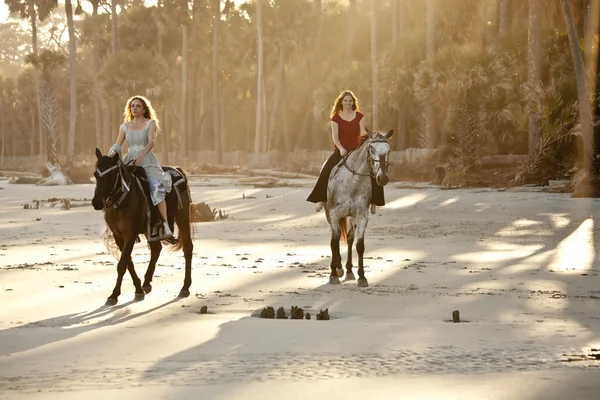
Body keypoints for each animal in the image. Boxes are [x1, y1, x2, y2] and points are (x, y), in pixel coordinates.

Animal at [91, 148, 192, 304]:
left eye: (112, 174)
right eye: (96, 174)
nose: (97, 202)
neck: (122, 201)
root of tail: (177, 170)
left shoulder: (130, 234)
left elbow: (122, 263)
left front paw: (114, 294)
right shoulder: (118, 235)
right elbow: (128, 262)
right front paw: (138, 289)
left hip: (182, 217)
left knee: (187, 248)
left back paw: (185, 287)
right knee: (156, 249)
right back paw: (146, 283)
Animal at [324, 128, 394, 288]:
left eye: (389, 150)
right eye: (371, 149)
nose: (382, 178)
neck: (353, 182)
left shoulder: (362, 215)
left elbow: (360, 245)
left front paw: (362, 277)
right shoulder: (334, 214)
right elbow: (334, 242)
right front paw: (333, 274)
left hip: (351, 217)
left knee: (350, 238)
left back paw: (349, 270)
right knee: (336, 238)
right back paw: (338, 268)